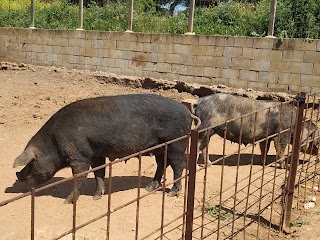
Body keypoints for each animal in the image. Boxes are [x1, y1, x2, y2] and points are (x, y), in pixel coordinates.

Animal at [13, 94, 198, 202]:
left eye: (31, 163)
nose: (18, 175)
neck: (53, 142)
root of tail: (187, 112)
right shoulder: (96, 153)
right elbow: (98, 173)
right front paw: (96, 197)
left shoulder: (79, 155)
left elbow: (80, 176)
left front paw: (67, 201)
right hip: (159, 146)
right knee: (162, 164)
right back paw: (149, 188)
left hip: (176, 142)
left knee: (178, 165)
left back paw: (172, 193)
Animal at [192, 93, 320, 168]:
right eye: (317, 141)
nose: (317, 159)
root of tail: (198, 101)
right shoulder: (282, 133)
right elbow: (280, 149)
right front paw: (286, 167)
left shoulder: (266, 137)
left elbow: (265, 149)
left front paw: (264, 164)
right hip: (206, 127)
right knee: (198, 146)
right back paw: (198, 167)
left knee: (204, 147)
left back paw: (209, 165)